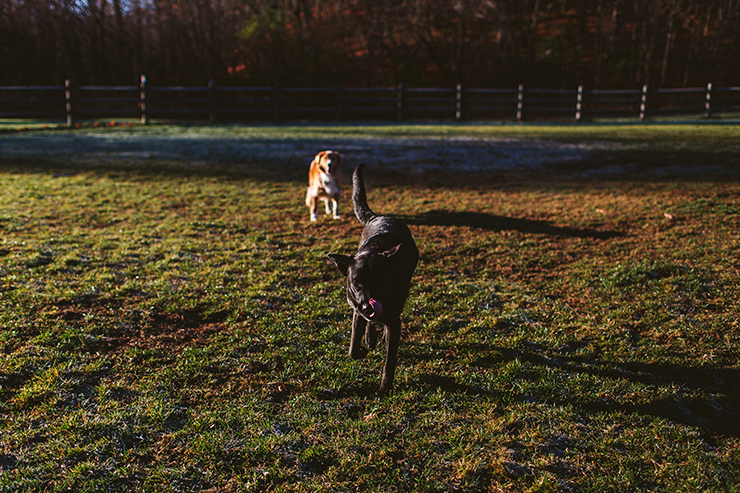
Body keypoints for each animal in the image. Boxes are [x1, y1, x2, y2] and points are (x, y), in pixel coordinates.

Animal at [328, 163, 416, 394]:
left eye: (381, 282)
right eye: (357, 283)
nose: (369, 306)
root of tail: (379, 217)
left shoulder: (392, 319)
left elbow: (390, 360)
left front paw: (385, 388)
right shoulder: (356, 309)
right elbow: (352, 346)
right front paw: (362, 349)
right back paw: (371, 337)